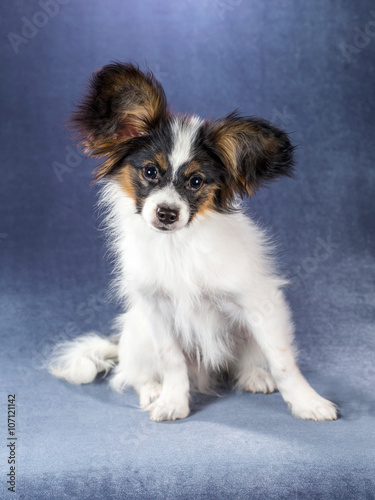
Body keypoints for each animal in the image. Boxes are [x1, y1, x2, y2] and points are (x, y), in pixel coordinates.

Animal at [48, 62, 340, 422]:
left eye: (196, 182)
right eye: (150, 172)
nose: (167, 213)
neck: (179, 244)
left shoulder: (259, 303)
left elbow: (283, 361)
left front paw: (308, 403)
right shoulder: (157, 309)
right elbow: (172, 361)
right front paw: (172, 402)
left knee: (249, 359)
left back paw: (255, 376)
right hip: (139, 333)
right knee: (133, 373)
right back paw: (153, 391)